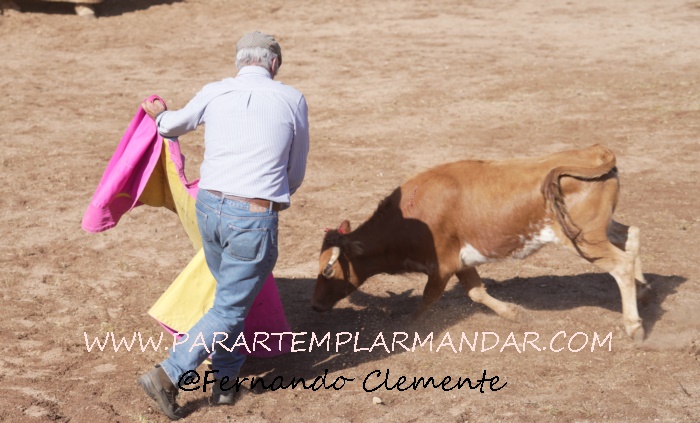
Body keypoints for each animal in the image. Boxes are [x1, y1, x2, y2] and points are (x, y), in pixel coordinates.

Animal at [313, 144, 650, 341]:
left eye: (327, 270)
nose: (315, 305)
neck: (408, 214)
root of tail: (596, 153)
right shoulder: (461, 262)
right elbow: (476, 291)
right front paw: (512, 313)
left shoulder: (442, 265)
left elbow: (428, 298)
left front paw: (408, 325)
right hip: (596, 231)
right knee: (630, 234)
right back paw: (643, 289)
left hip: (585, 239)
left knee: (620, 264)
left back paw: (634, 325)